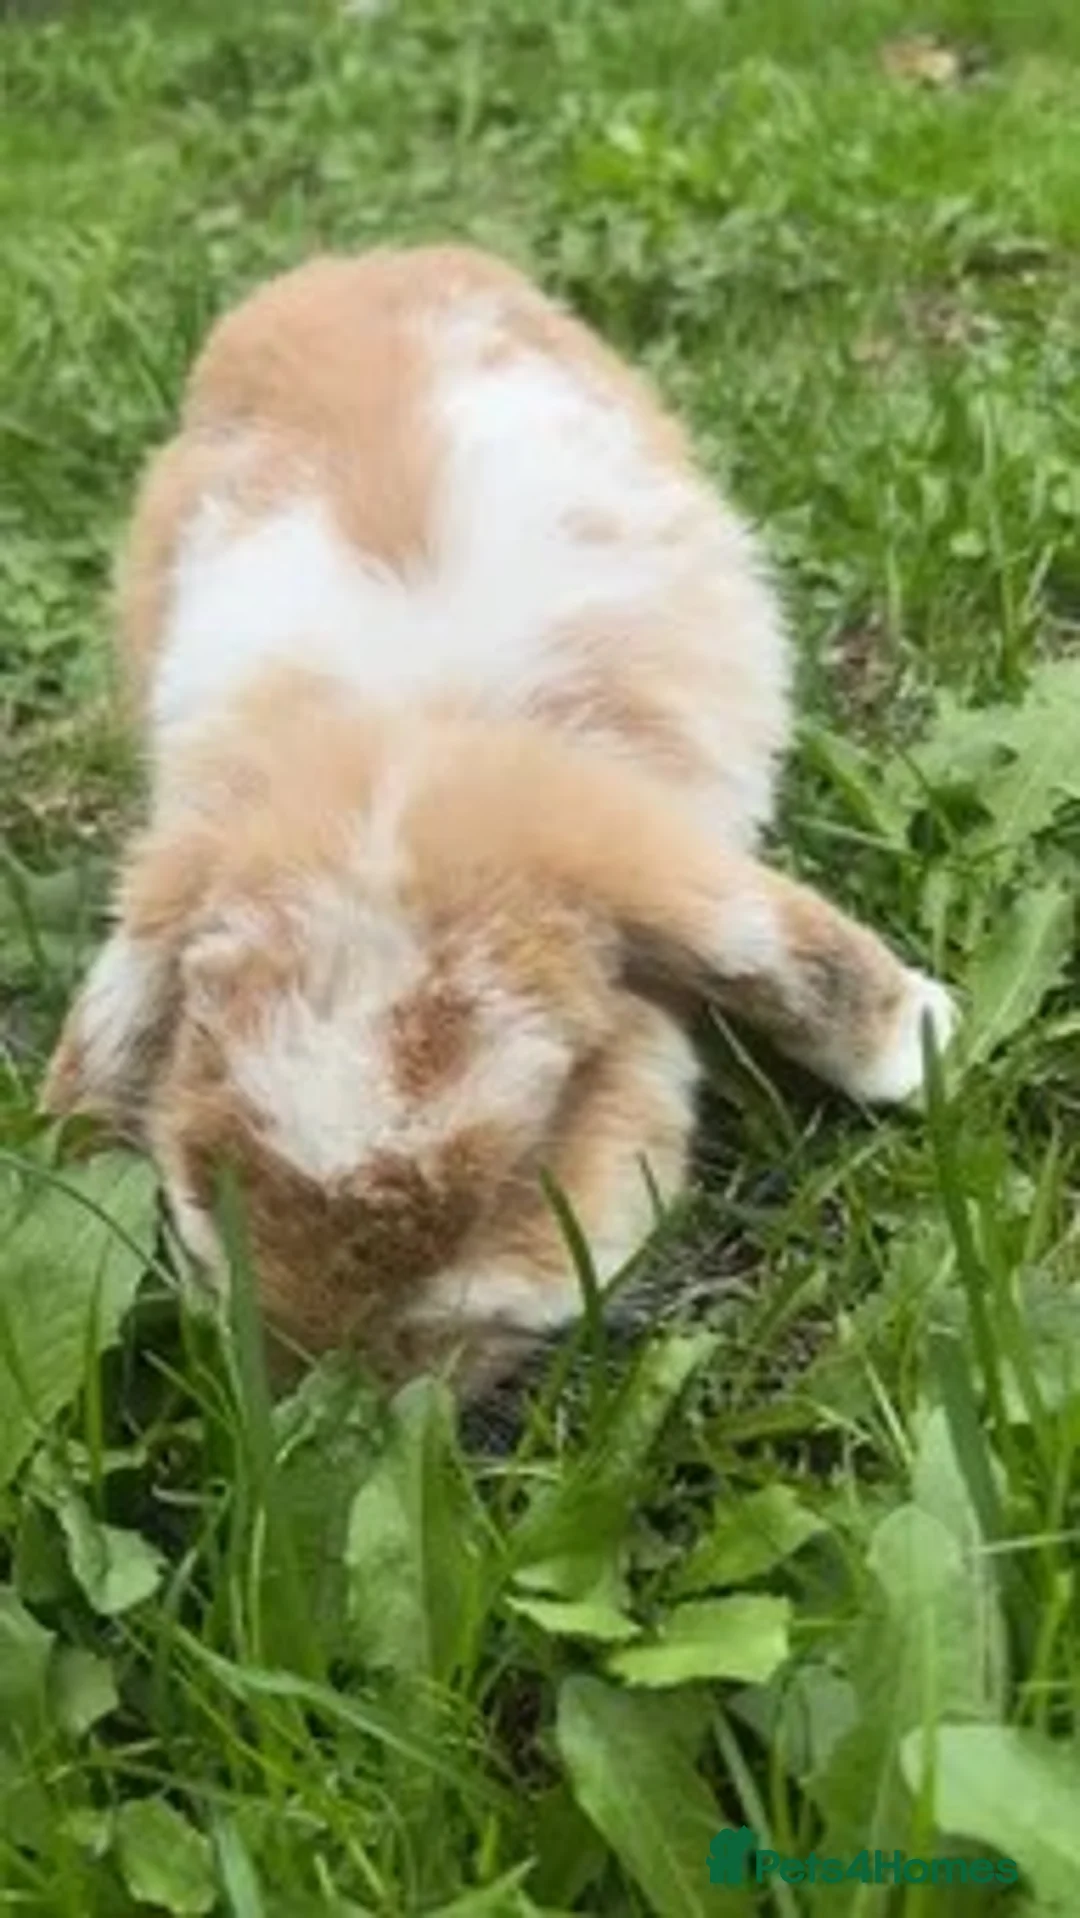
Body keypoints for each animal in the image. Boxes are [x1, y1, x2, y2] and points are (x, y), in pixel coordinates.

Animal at [42, 244, 956, 1393]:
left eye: (527, 1168)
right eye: (209, 1170)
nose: (331, 1377)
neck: (411, 749)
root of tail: (356, 263)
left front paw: (920, 1044)